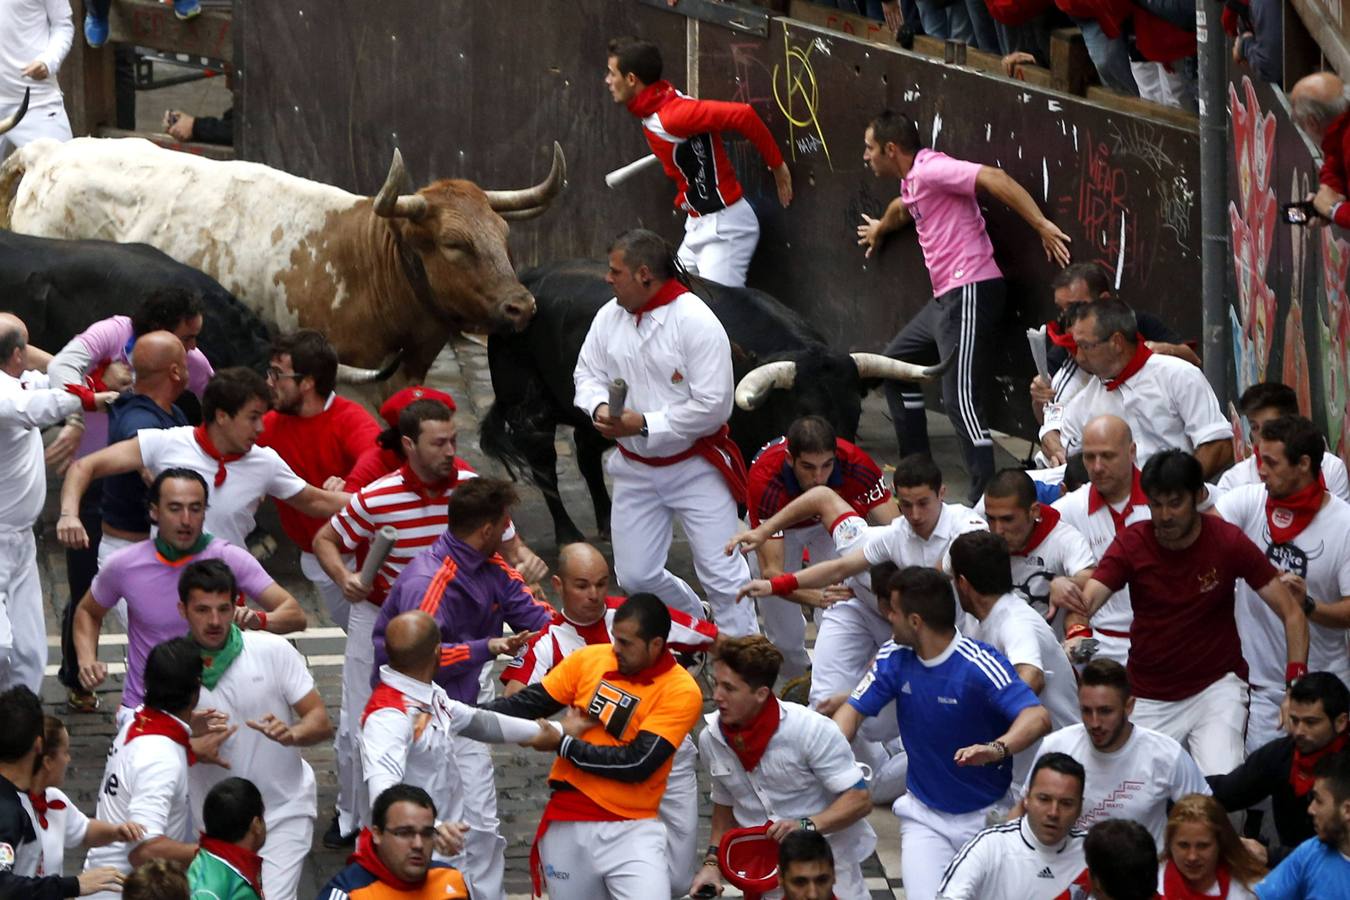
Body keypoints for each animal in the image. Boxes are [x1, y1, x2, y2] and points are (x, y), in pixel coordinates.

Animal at [486, 256, 874, 545]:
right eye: (803, 413)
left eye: (855, 412)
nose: (836, 479)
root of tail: (529, 280)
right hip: (526, 402)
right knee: (542, 460)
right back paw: (568, 534)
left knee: (585, 449)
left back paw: (608, 523)